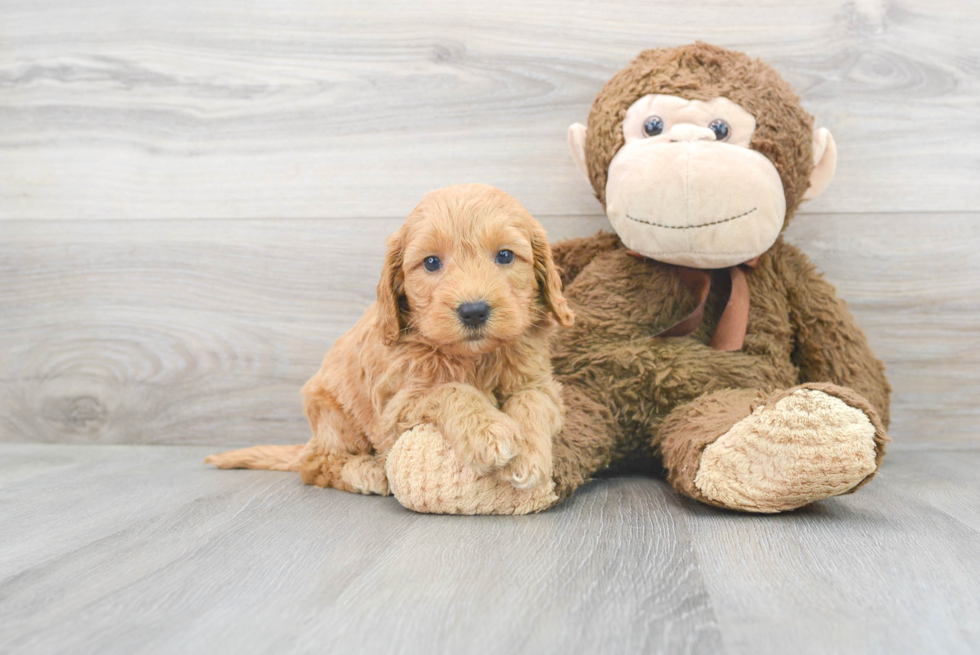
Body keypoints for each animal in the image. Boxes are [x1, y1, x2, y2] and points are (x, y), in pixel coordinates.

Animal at [207, 182, 576, 494]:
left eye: (505, 256)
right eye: (431, 262)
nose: (473, 311)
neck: (474, 357)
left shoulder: (542, 384)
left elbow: (531, 401)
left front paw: (528, 455)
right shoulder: (395, 410)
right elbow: (449, 389)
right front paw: (486, 430)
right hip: (333, 418)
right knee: (314, 464)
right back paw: (366, 472)